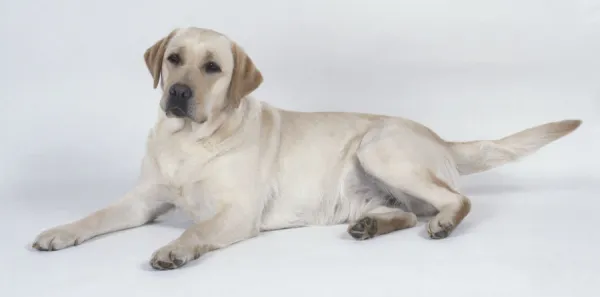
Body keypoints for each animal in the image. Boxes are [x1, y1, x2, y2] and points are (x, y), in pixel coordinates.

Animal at [31, 27, 580, 268]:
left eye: (212, 68)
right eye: (174, 58)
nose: (179, 93)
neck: (191, 142)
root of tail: (438, 136)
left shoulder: (236, 212)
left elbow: (196, 229)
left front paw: (174, 249)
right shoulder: (143, 200)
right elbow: (96, 216)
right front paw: (60, 231)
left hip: (379, 148)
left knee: (456, 200)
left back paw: (444, 222)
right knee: (406, 211)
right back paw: (372, 226)